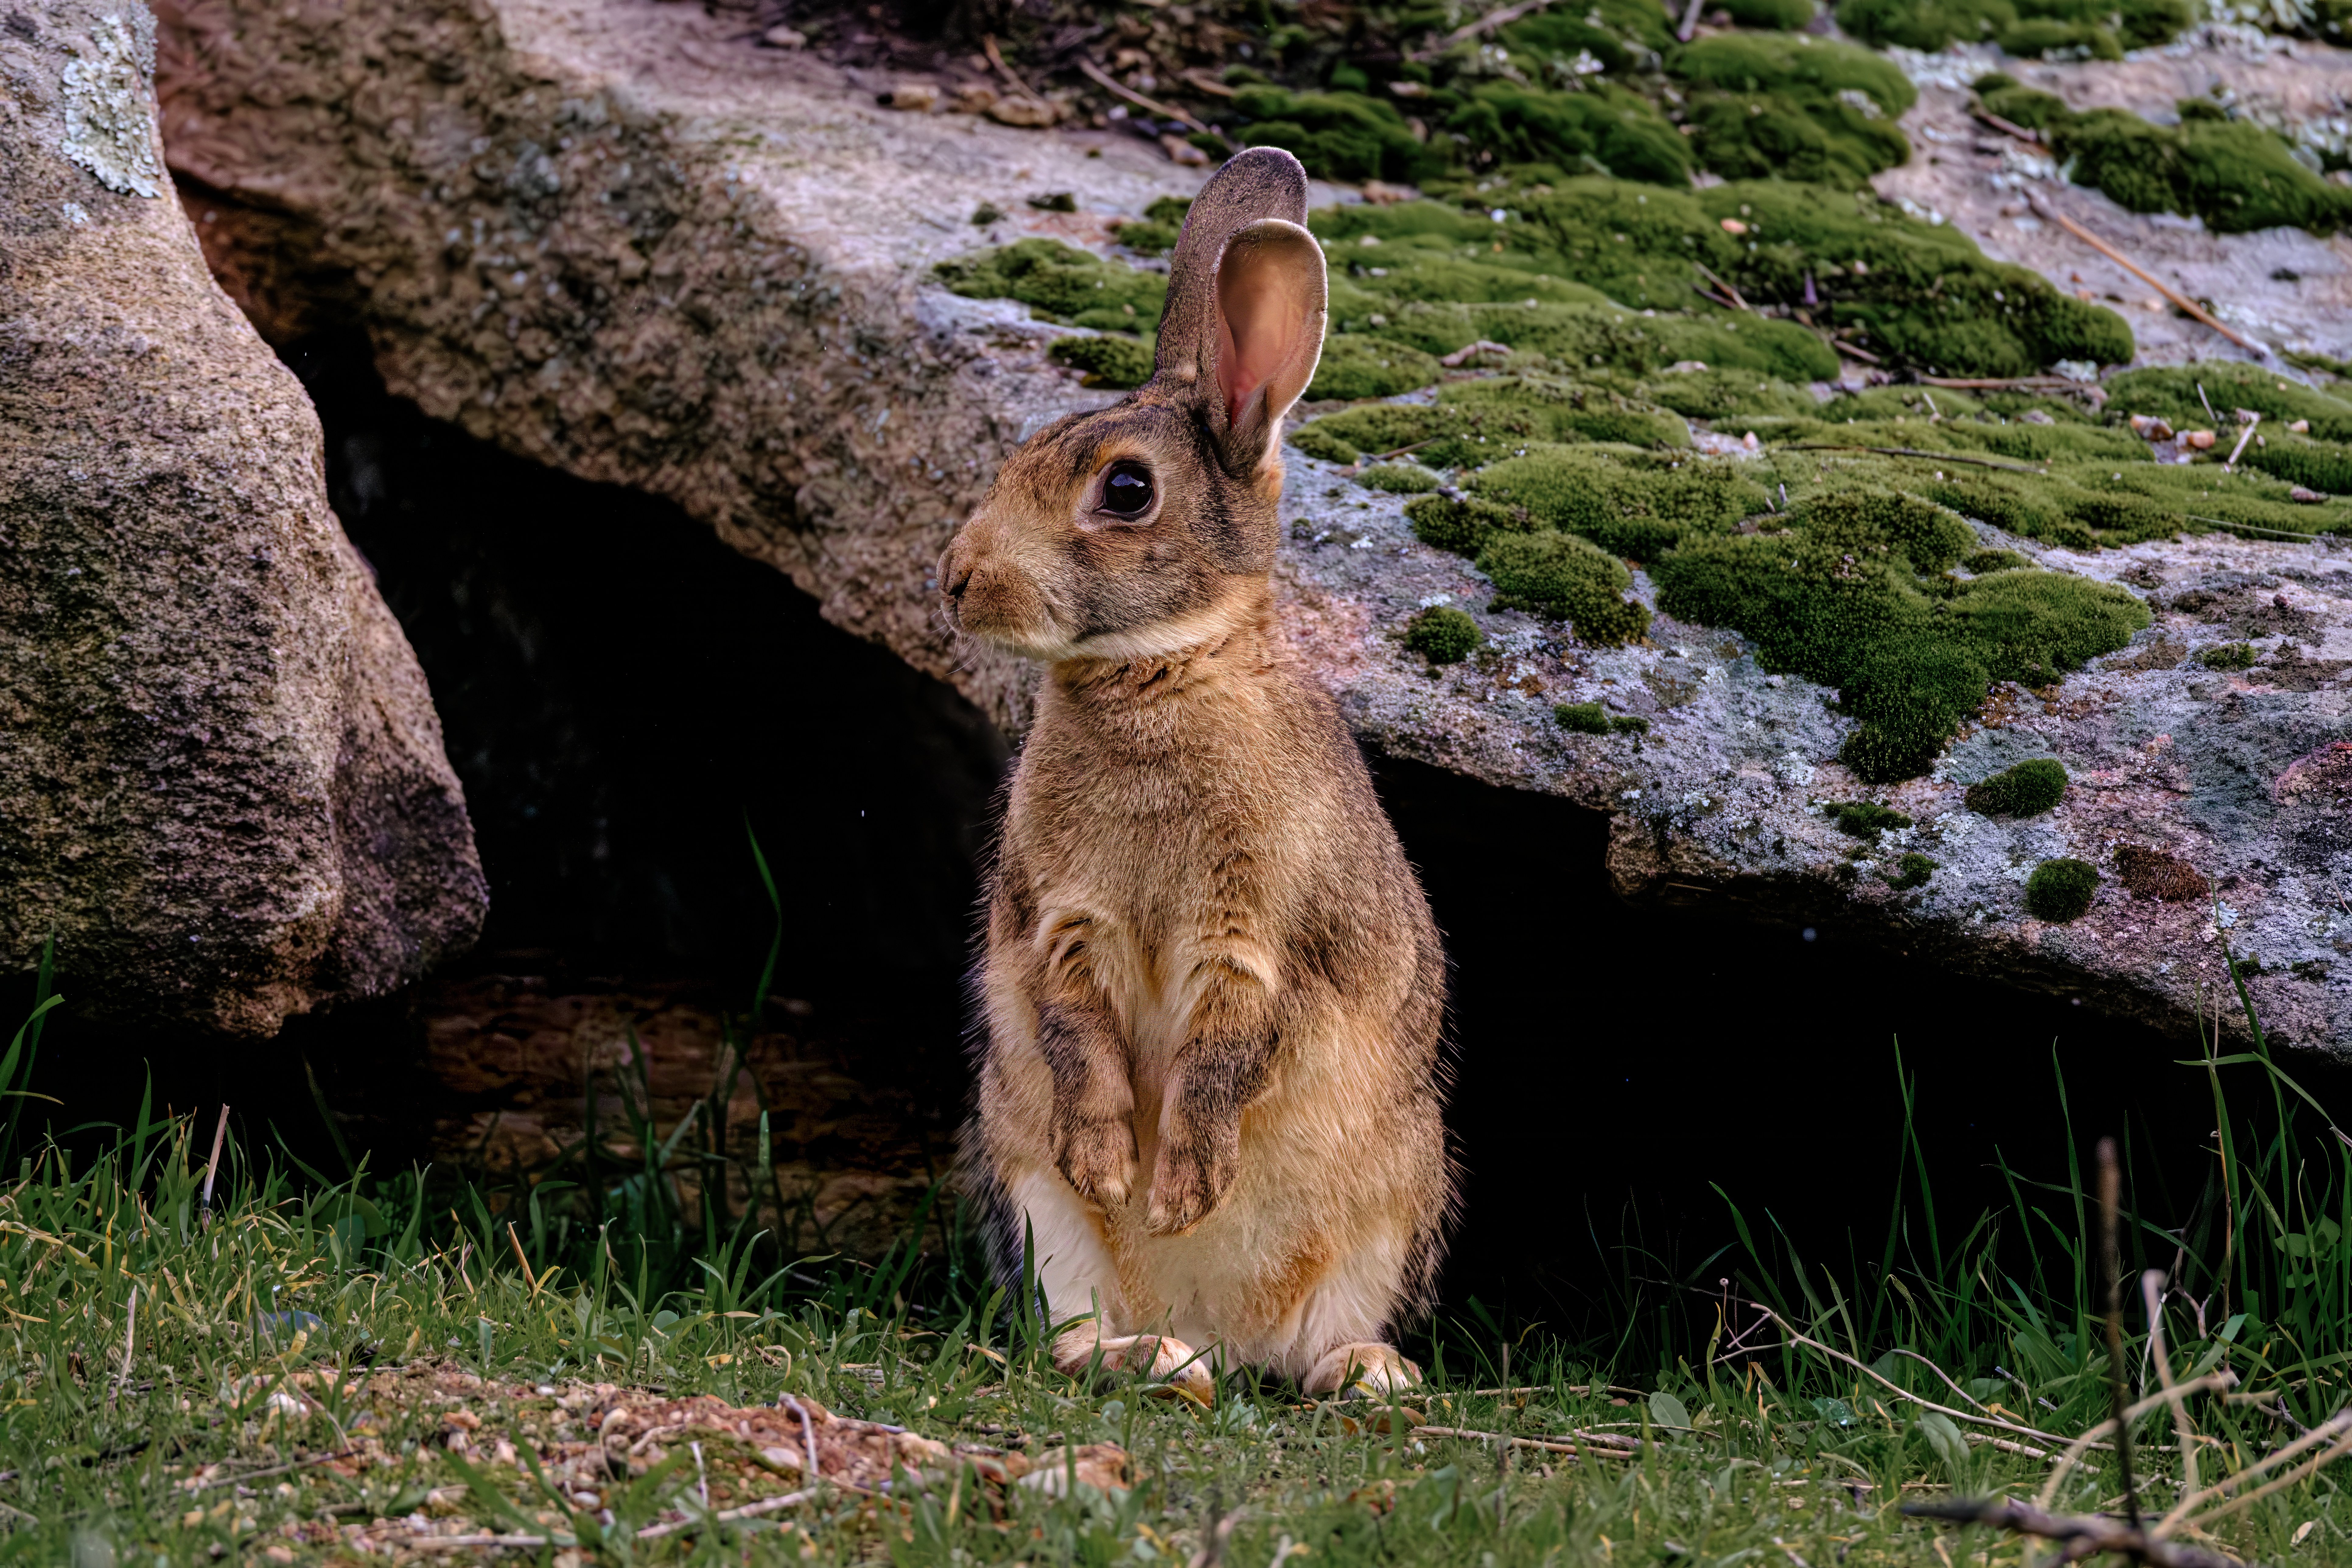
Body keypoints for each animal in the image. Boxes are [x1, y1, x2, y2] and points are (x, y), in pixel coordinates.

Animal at [936, 147, 1454, 1397]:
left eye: (1125, 491)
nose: (957, 579)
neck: (1158, 672)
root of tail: (1231, 1333)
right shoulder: (1060, 922)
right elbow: (1075, 1035)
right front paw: (1115, 1170)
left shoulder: (1260, 936)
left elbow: (1225, 1057)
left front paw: (1179, 1193)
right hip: (1029, 1198)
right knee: (1075, 1332)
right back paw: (1159, 1357)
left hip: (1394, 1205)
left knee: (1319, 1340)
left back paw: (1361, 1374)